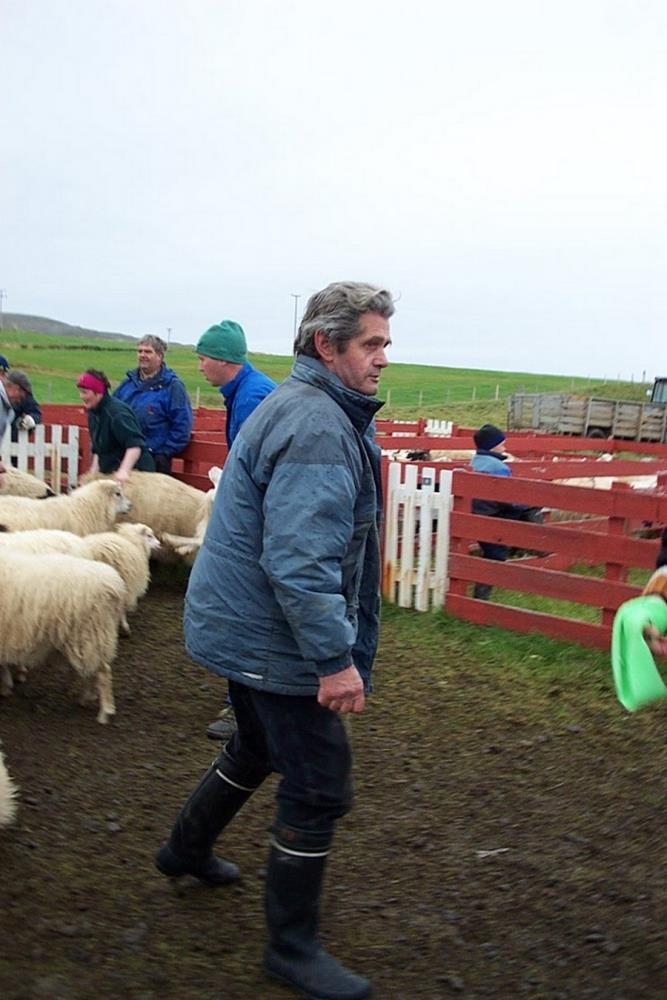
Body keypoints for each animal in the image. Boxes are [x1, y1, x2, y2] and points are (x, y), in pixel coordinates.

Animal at [0, 550, 126, 724]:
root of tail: (115, 586)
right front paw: (6, 686)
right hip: (89, 639)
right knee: (91, 672)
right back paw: (86, 698)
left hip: (91, 634)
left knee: (102, 673)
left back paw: (103, 713)